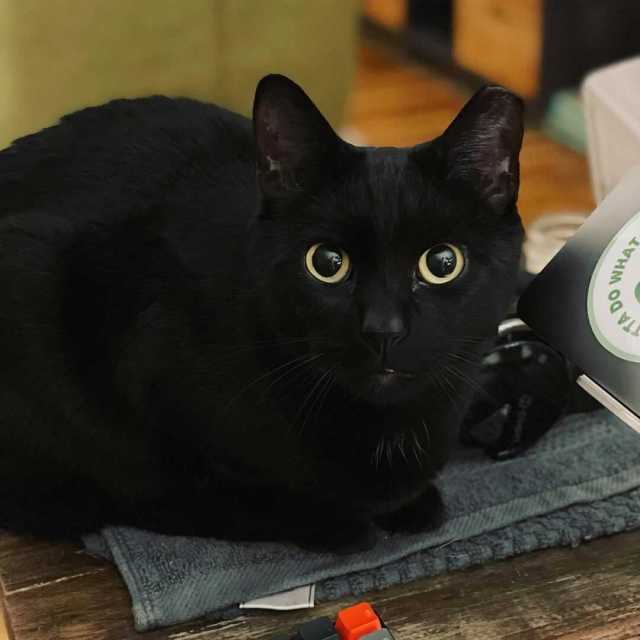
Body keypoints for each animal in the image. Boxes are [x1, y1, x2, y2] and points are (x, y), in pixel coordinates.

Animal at [0, 74, 524, 544]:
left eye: (442, 263)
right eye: (326, 263)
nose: (383, 330)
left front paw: (409, 501)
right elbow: (195, 482)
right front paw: (337, 518)